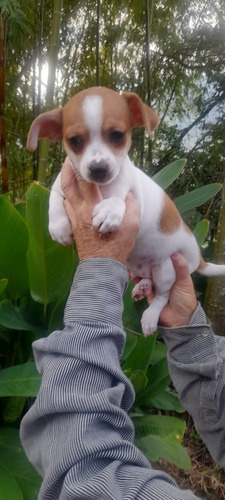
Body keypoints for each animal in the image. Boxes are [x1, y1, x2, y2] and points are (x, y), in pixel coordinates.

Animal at [26, 86, 225, 336]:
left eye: (117, 135)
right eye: (74, 140)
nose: (98, 168)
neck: (101, 187)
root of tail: (198, 255)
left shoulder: (131, 197)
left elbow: (116, 199)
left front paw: (110, 211)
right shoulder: (64, 182)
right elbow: (54, 195)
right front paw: (58, 226)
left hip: (167, 268)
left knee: (163, 296)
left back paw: (150, 317)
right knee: (152, 286)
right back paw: (143, 286)